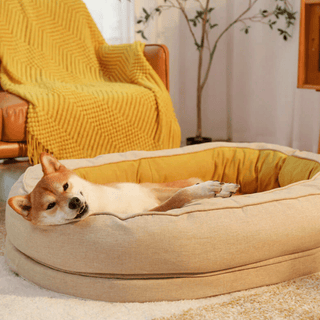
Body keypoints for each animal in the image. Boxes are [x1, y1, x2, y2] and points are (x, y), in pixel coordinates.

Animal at [7, 152, 240, 225]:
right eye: (51, 205)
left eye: (65, 186)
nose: (74, 201)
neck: (104, 202)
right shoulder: (149, 211)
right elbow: (180, 195)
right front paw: (206, 190)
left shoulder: (148, 189)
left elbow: (181, 188)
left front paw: (221, 188)